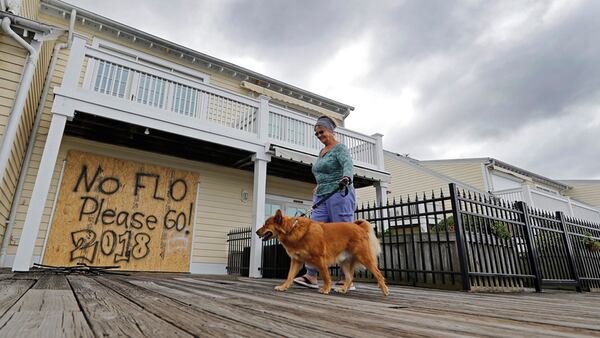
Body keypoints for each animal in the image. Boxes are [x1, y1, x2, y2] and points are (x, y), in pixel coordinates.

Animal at [256, 210, 390, 294]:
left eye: (266, 225)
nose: (257, 232)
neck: (292, 229)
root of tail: (359, 227)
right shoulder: (296, 261)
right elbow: (289, 276)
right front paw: (284, 286)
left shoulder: (320, 258)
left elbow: (325, 276)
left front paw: (326, 288)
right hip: (345, 262)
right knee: (349, 277)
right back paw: (343, 289)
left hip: (364, 258)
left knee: (378, 274)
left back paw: (384, 290)